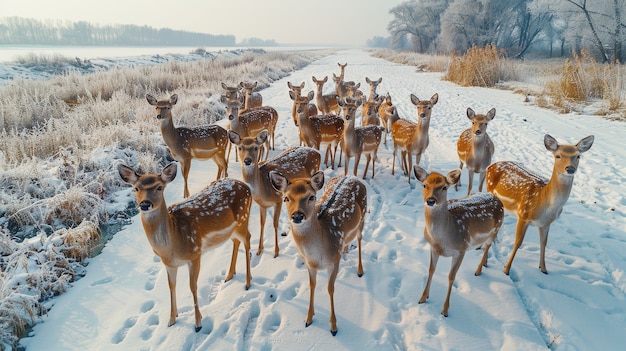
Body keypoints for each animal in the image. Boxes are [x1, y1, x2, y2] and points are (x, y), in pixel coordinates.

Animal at [117, 162, 251, 332]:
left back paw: (248, 282)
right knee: (236, 242)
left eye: (159, 187)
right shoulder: (169, 264)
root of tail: (247, 187)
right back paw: (229, 275)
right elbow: (171, 286)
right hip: (232, 230)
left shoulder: (195, 254)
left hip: (243, 219)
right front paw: (172, 319)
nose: (145, 204)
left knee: (248, 240)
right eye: (136, 188)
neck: (172, 246)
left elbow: (192, 287)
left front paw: (198, 323)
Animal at [268, 172, 366, 336]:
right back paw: (346, 250)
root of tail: (350, 176)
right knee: (348, 240)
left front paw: (333, 327)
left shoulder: (334, 261)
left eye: (312, 197)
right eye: (286, 198)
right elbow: (312, 285)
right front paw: (308, 318)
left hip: (363, 216)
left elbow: (330, 289)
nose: (297, 216)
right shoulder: (309, 264)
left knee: (359, 239)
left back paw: (360, 270)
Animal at [412, 166, 504, 318]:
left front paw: (445, 310)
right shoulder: (433, 248)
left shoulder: (461, 249)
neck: (442, 240)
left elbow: (451, 277)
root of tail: (498, 199)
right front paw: (423, 298)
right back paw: (483, 258)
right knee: (485, 246)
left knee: (488, 246)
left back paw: (478, 270)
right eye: (424, 185)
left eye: (444, 187)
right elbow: (431, 270)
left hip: (496, 229)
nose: (430, 200)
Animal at [486, 134, 592, 276]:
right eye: (558, 156)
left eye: (578, 156)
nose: (570, 169)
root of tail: (491, 165)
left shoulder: (546, 223)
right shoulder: (523, 214)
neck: (545, 203)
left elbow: (544, 243)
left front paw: (544, 268)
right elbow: (518, 242)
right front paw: (506, 269)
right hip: (489, 190)